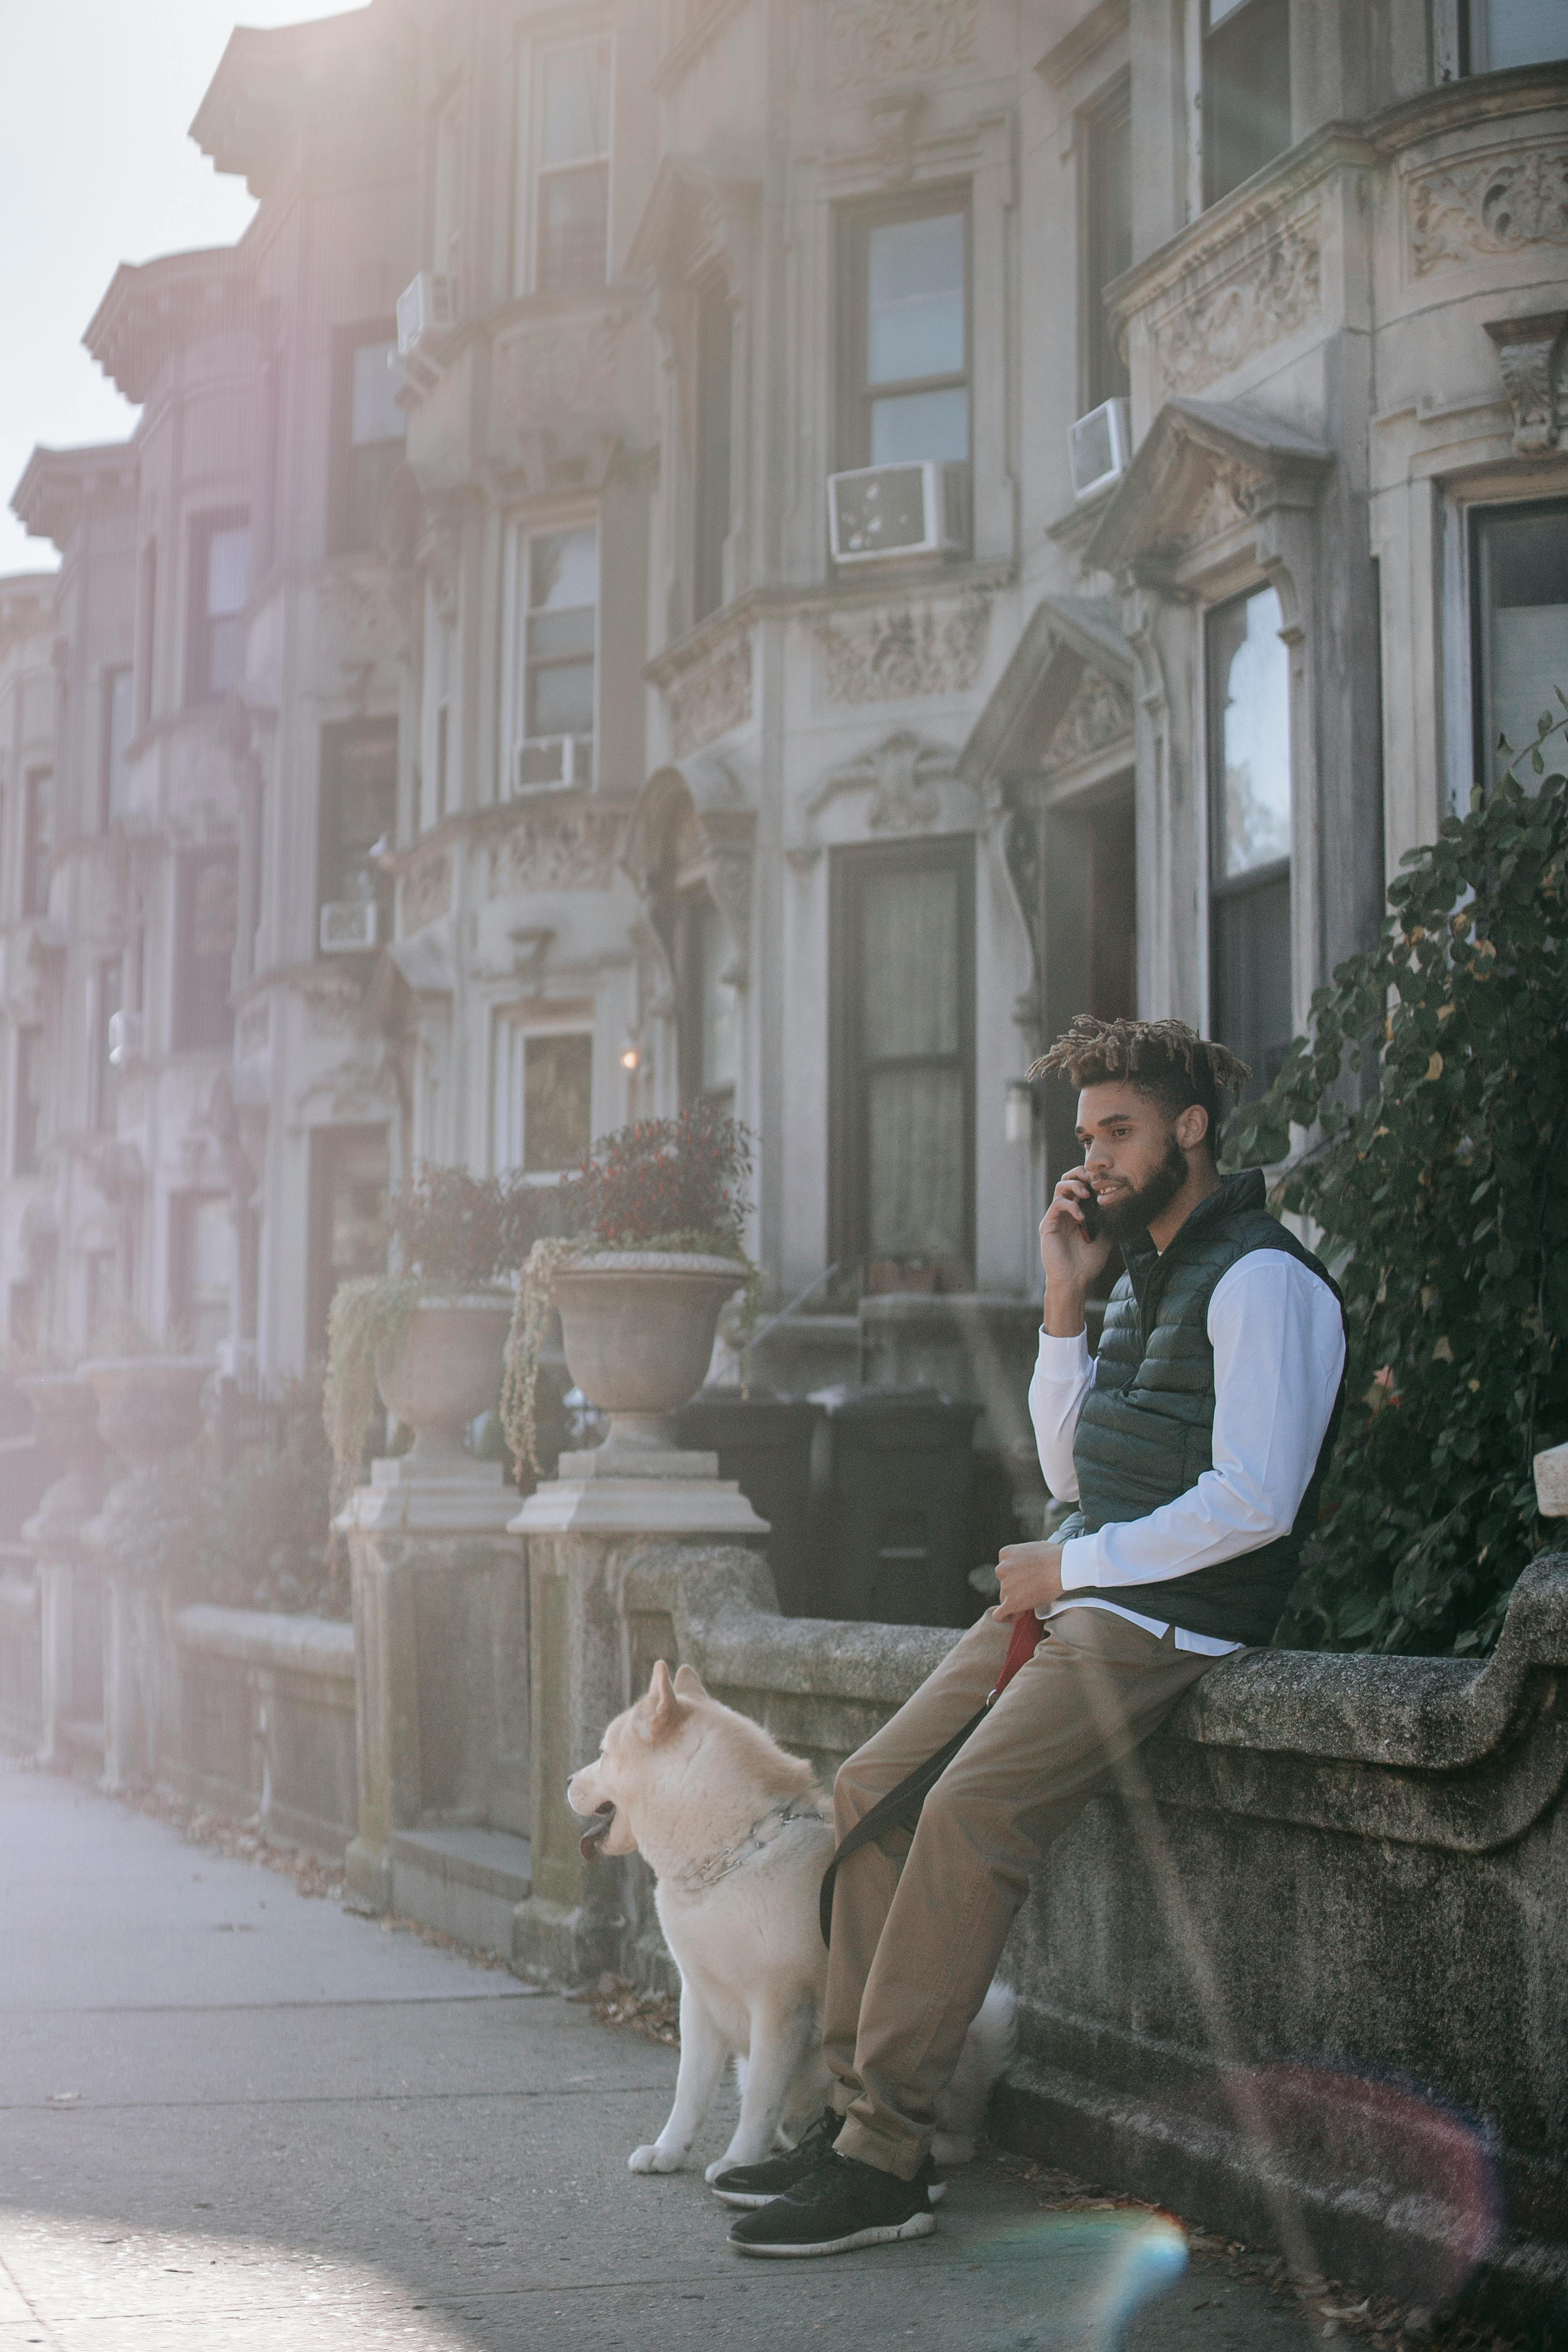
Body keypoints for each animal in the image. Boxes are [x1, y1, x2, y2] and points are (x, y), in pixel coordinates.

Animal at [567, 1656, 1020, 2183]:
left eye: (602, 1753)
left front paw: (738, 2160)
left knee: (955, 2139)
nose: (567, 1781)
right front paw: (669, 2150)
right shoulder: (698, 2000)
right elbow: (689, 2092)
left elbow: (760, 2101)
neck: (733, 1853)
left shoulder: (780, 2007)